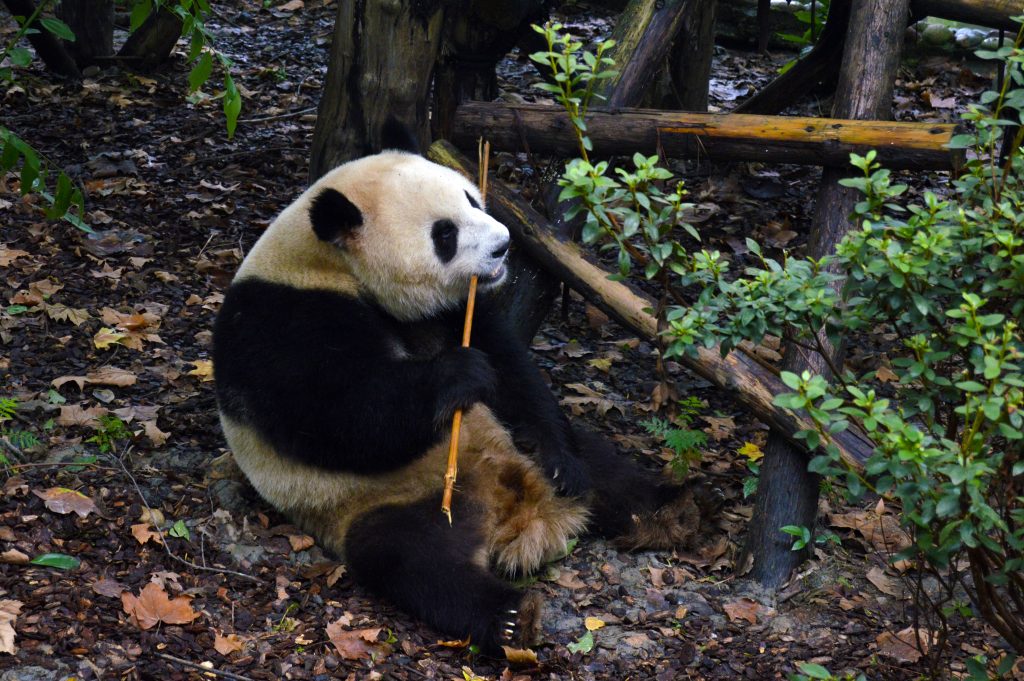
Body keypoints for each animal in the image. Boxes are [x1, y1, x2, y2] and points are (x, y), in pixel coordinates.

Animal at [213, 122, 720, 653]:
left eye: (471, 199)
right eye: (445, 234)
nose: (503, 245)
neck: (331, 265)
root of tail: (511, 512)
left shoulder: (455, 311)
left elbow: (513, 370)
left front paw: (556, 455)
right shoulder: (280, 323)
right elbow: (340, 419)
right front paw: (457, 374)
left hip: (524, 448)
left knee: (603, 467)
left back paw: (671, 509)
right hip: (382, 504)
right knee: (416, 562)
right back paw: (513, 616)